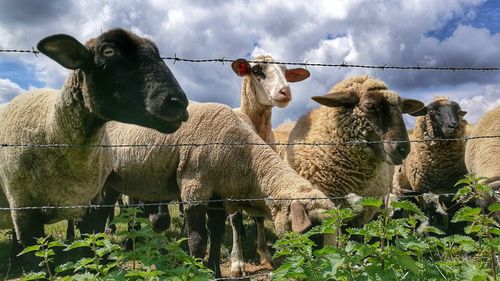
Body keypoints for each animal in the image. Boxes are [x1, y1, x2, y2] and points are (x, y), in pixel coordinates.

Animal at [95, 102, 334, 276]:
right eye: (314, 234)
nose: (325, 273)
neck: (248, 161)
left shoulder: (217, 195)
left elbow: (217, 235)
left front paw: (215, 272)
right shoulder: (194, 186)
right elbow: (199, 241)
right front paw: (197, 272)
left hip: (113, 181)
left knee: (101, 211)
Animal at [229, 54, 310, 274]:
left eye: (286, 72)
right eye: (256, 69)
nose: (286, 91)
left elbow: (258, 218)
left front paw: (265, 254)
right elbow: (235, 220)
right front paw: (237, 262)